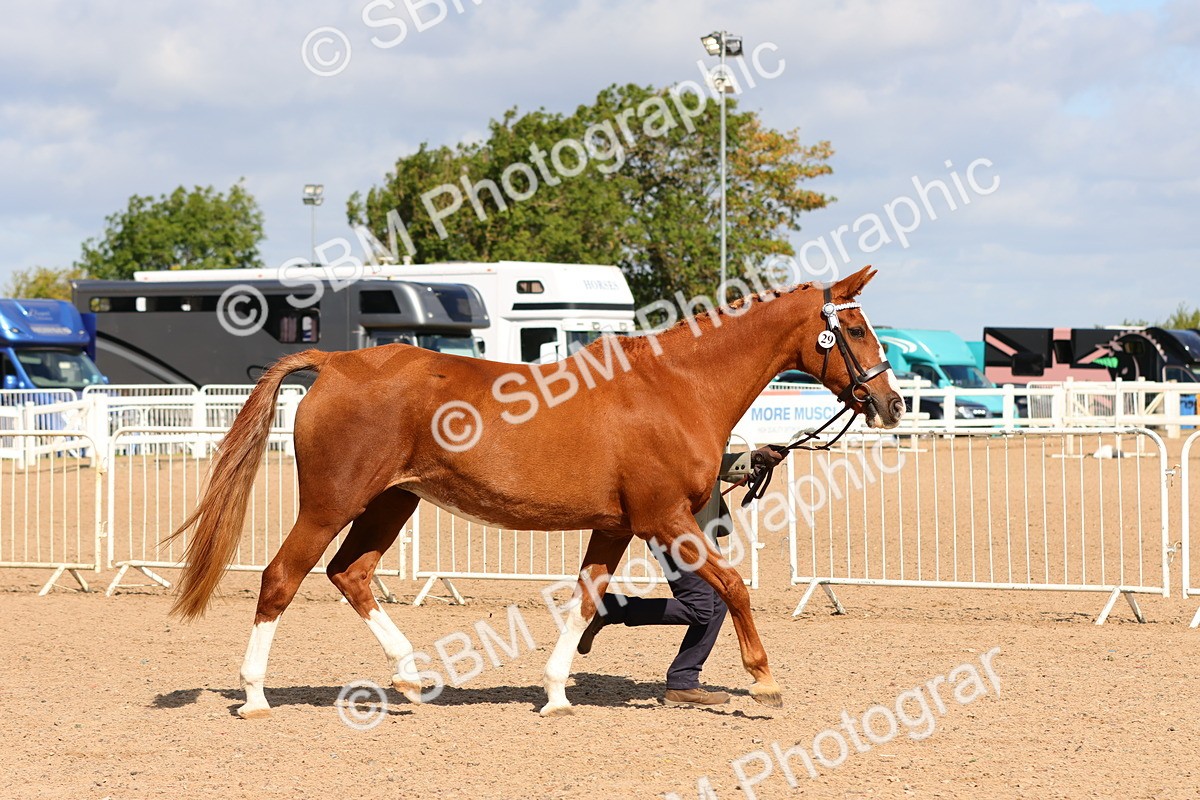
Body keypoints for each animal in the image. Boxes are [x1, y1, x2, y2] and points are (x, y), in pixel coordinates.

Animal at [169, 264, 904, 718]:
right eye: (856, 330)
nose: (893, 405)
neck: (676, 386)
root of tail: (338, 361)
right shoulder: (666, 517)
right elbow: (732, 586)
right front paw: (765, 680)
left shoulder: (618, 524)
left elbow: (587, 598)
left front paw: (555, 692)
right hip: (330, 504)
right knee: (280, 579)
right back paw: (256, 696)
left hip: (391, 502)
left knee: (350, 574)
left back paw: (410, 676)